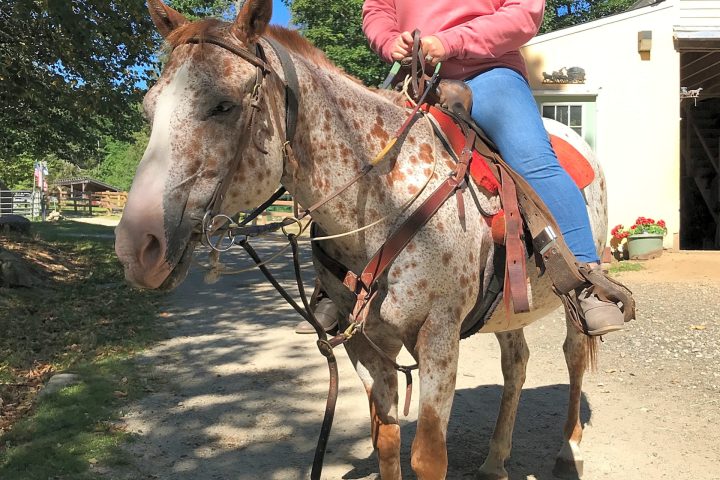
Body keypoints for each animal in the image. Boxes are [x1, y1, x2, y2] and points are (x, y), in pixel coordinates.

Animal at [115, 1, 609, 478]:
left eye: (224, 105)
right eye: (148, 108)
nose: (137, 247)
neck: (389, 199)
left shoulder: (439, 336)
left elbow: (429, 456)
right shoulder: (366, 344)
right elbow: (386, 440)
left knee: (574, 354)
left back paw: (569, 450)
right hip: (508, 307)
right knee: (516, 363)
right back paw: (494, 461)